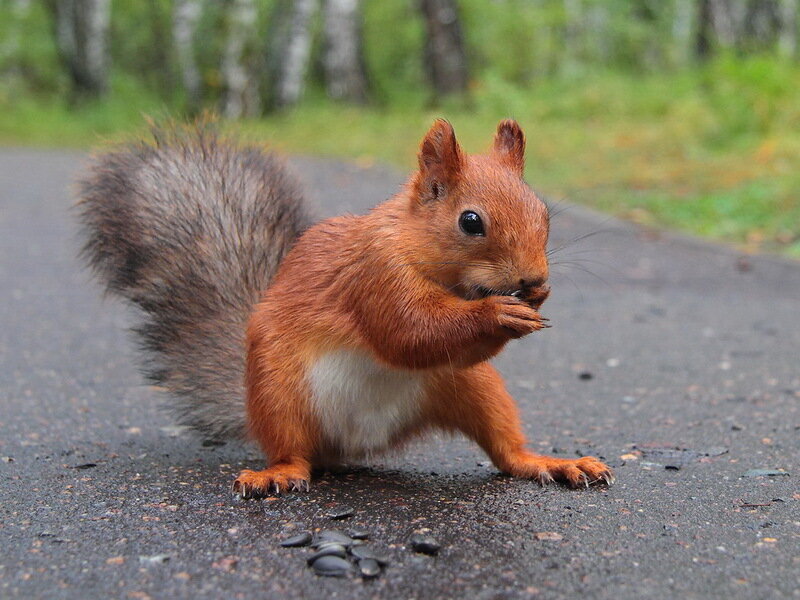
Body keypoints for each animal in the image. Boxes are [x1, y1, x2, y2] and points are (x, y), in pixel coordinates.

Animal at [77, 119, 613, 497]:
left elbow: (441, 346)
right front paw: (499, 314)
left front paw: (535, 300)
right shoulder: (373, 276)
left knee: (505, 450)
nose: (533, 278)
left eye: (543, 212)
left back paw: (552, 463)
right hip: (279, 390)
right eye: (470, 221)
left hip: (471, 389)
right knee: (292, 452)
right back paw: (275, 473)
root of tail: (354, 443)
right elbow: (408, 333)